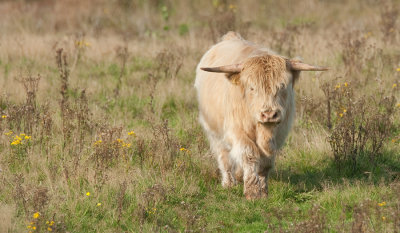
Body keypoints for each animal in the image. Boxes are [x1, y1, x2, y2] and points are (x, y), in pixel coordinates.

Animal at [195, 31, 328, 200]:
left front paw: (263, 191)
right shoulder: (236, 132)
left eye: (282, 86)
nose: (269, 114)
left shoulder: (279, 134)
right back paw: (229, 183)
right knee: (224, 156)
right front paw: (252, 191)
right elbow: (249, 154)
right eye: (252, 88)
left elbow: (265, 162)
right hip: (213, 131)